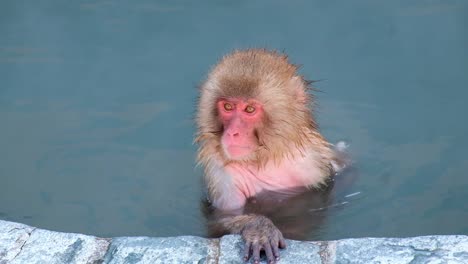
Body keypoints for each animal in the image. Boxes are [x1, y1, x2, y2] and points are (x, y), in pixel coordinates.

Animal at [196, 48, 346, 262]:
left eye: (250, 109)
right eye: (228, 107)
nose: (233, 133)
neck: (264, 158)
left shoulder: (312, 162)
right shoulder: (221, 174)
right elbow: (221, 218)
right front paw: (260, 228)